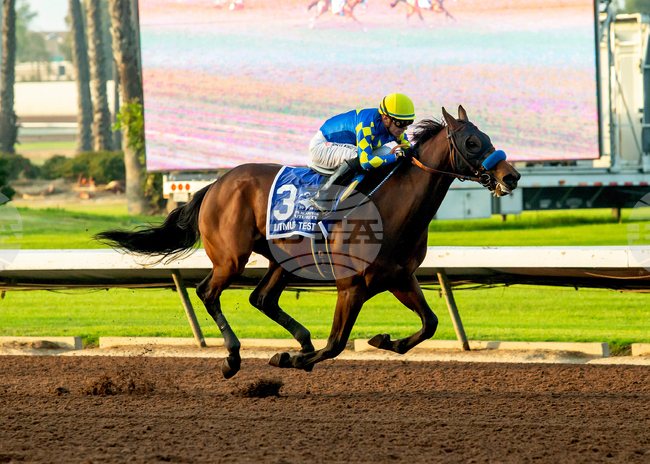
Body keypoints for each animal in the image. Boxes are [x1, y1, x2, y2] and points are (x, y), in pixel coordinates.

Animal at [96, 106, 520, 379]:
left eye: (487, 138)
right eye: (471, 142)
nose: (511, 176)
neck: (393, 207)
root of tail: (216, 183)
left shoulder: (399, 277)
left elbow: (430, 324)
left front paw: (383, 339)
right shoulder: (351, 286)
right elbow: (335, 344)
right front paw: (293, 361)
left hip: (283, 260)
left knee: (262, 298)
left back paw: (298, 342)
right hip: (231, 258)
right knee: (208, 292)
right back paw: (233, 358)